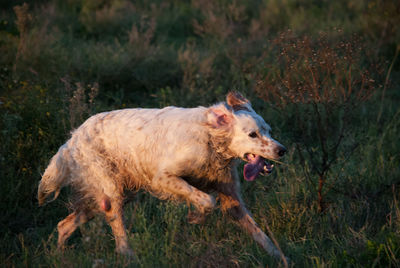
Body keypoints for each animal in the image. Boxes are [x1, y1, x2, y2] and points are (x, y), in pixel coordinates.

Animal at [37, 91, 288, 262]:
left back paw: (60, 256)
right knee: (117, 230)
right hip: (111, 192)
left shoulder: (231, 197)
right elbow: (206, 200)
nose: (282, 150)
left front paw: (280, 257)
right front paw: (196, 216)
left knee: (64, 225)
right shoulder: (163, 178)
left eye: (268, 131)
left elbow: (259, 233)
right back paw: (129, 255)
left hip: (107, 197)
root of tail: (73, 138)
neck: (211, 139)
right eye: (253, 134)